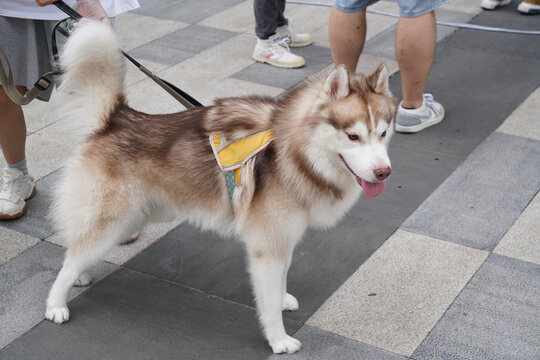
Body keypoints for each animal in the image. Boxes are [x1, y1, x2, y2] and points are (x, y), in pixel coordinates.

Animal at [44, 20, 396, 354]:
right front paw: (279, 340)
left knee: (77, 248)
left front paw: (283, 299)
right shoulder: (267, 247)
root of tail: (117, 118)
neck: (294, 151)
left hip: (134, 216)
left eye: (383, 133)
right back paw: (56, 305)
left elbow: (282, 279)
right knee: (72, 258)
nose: (384, 173)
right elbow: (268, 305)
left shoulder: (284, 239)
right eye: (353, 136)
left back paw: (82, 275)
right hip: (113, 219)